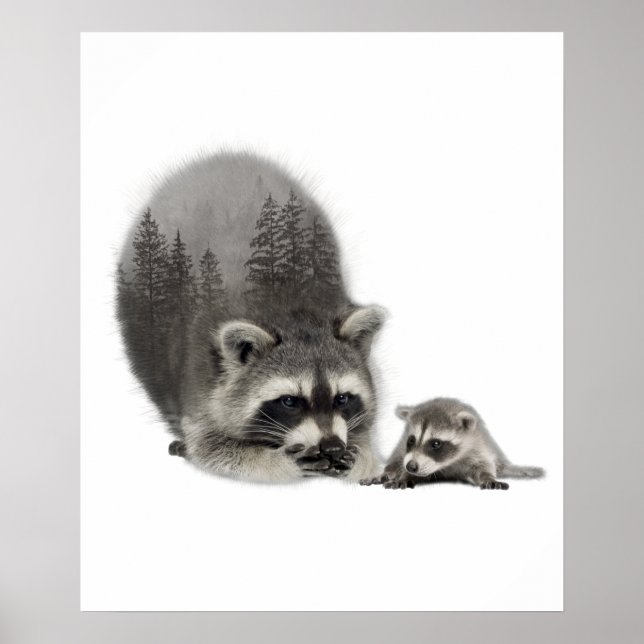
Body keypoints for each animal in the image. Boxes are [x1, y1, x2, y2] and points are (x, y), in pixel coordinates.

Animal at [117, 152, 384, 483]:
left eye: (342, 398)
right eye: (289, 401)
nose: (332, 446)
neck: (289, 309)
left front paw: (360, 455)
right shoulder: (203, 382)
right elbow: (211, 447)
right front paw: (276, 460)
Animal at [360, 397, 544, 490]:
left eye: (435, 444)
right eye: (411, 440)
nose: (411, 466)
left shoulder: (477, 448)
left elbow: (483, 467)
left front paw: (488, 477)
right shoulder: (404, 450)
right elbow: (399, 463)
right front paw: (403, 475)